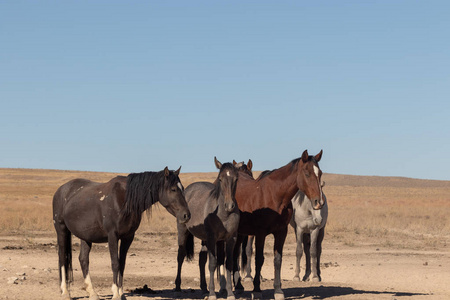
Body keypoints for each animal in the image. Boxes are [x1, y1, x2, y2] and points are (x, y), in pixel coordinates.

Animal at [52, 168, 190, 298]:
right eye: (173, 189)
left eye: (182, 188)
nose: (186, 215)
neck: (124, 200)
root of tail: (61, 190)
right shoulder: (112, 236)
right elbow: (115, 263)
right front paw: (115, 294)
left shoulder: (128, 237)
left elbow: (122, 264)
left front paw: (122, 293)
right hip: (61, 229)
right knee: (62, 258)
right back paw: (65, 292)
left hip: (86, 237)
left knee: (83, 259)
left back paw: (92, 293)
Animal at [174, 157, 241, 300]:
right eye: (220, 179)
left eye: (236, 179)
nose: (229, 205)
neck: (222, 214)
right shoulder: (212, 238)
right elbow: (212, 264)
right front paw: (212, 293)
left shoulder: (230, 239)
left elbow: (228, 263)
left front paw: (230, 293)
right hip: (183, 231)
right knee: (181, 255)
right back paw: (177, 287)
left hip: (204, 239)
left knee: (201, 259)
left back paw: (204, 288)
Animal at [232, 150, 324, 300]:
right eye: (307, 173)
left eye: (320, 173)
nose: (319, 202)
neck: (275, 195)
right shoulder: (260, 233)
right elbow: (259, 259)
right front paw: (257, 289)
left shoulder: (281, 232)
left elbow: (278, 260)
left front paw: (278, 290)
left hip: (241, 232)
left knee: (235, 254)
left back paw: (238, 286)